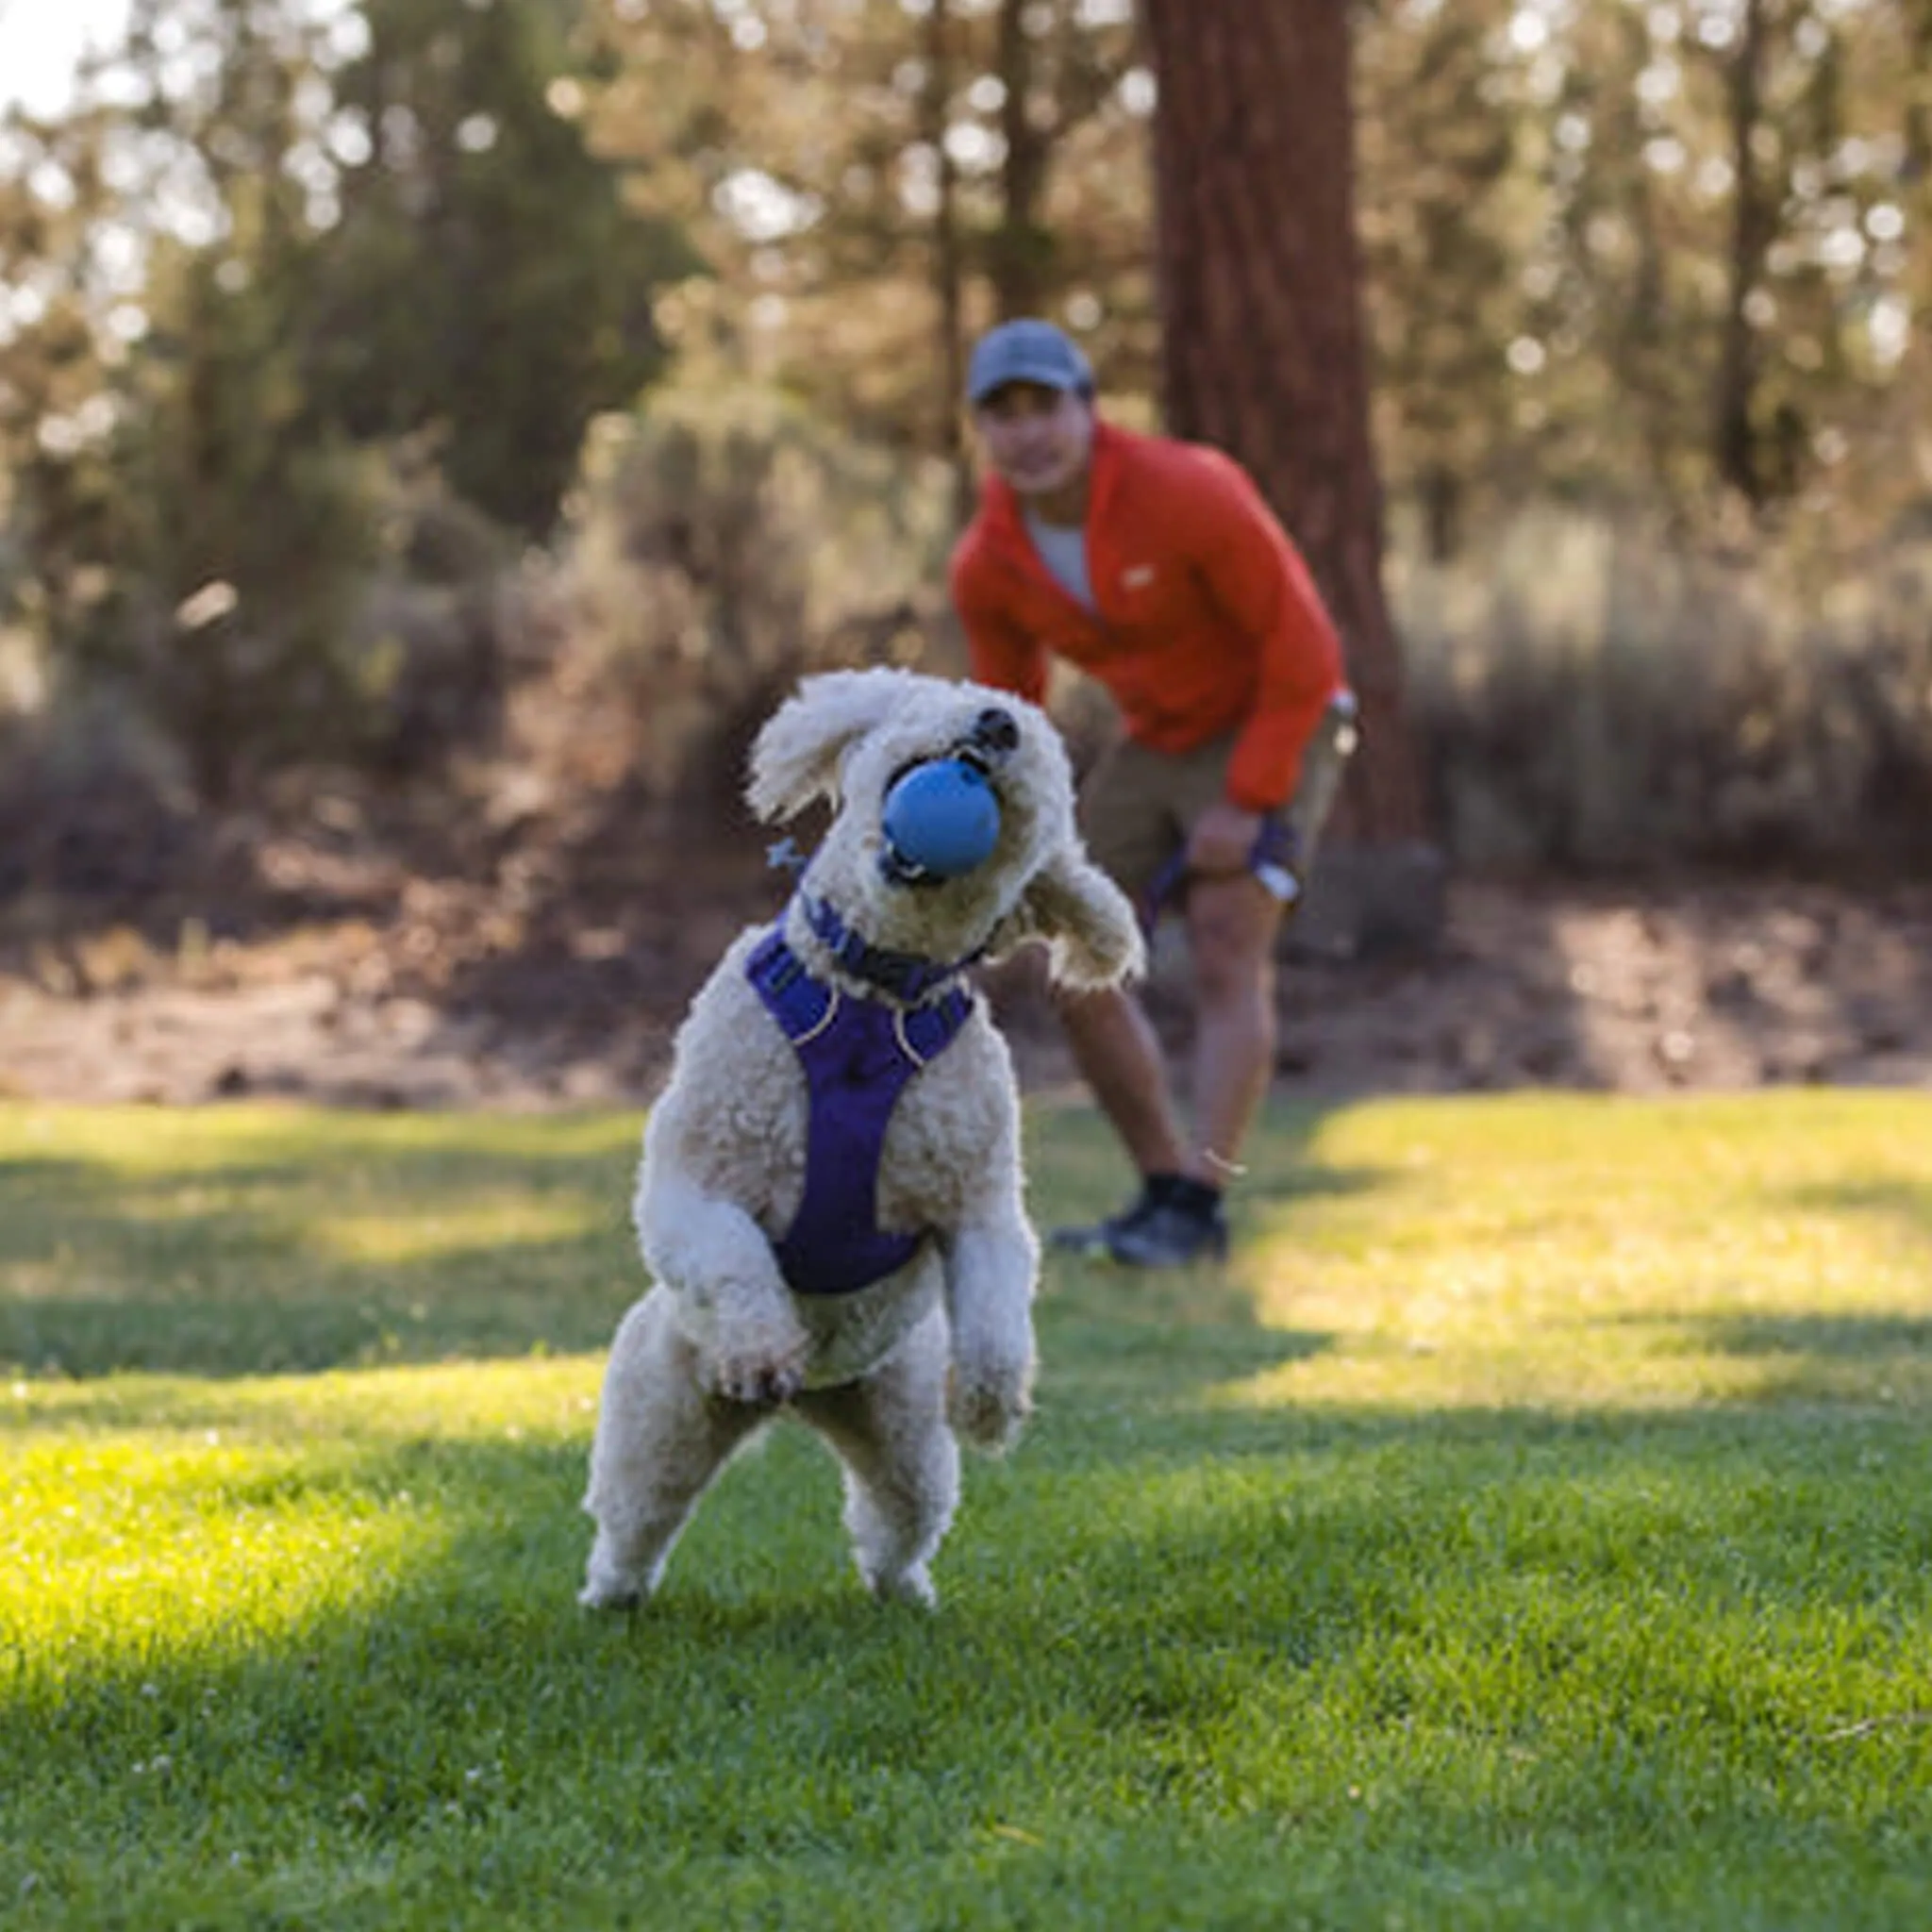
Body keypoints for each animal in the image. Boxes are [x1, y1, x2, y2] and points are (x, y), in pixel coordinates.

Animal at [579, 672, 1136, 1607]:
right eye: (951, 699)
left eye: (1041, 766)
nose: (997, 724)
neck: (869, 999)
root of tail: (807, 1399)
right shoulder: (695, 1182)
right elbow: (733, 1254)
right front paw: (761, 1343)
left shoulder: (978, 1200)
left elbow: (997, 1304)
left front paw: (992, 1402)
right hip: (660, 1412)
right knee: (635, 1516)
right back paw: (611, 1593)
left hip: (903, 1427)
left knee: (899, 1521)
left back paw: (906, 1593)